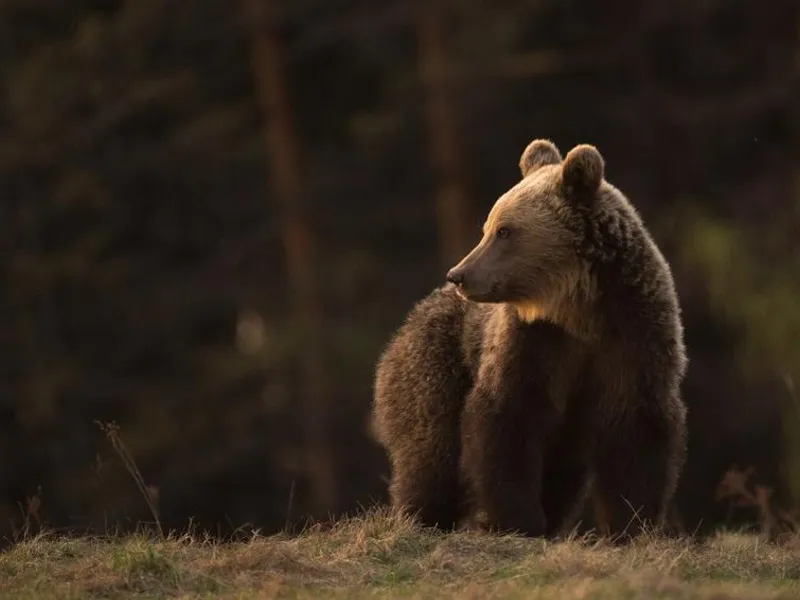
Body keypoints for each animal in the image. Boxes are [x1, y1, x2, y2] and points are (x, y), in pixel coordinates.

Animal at [368, 141, 688, 540]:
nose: (459, 275)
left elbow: (636, 430)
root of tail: (410, 320)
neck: (577, 309)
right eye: (488, 227)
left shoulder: (634, 335)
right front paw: (517, 521)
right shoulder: (532, 343)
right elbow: (507, 418)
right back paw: (419, 518)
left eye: (505, 231)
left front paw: (629, 525)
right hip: (435, 365)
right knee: (431, 455)